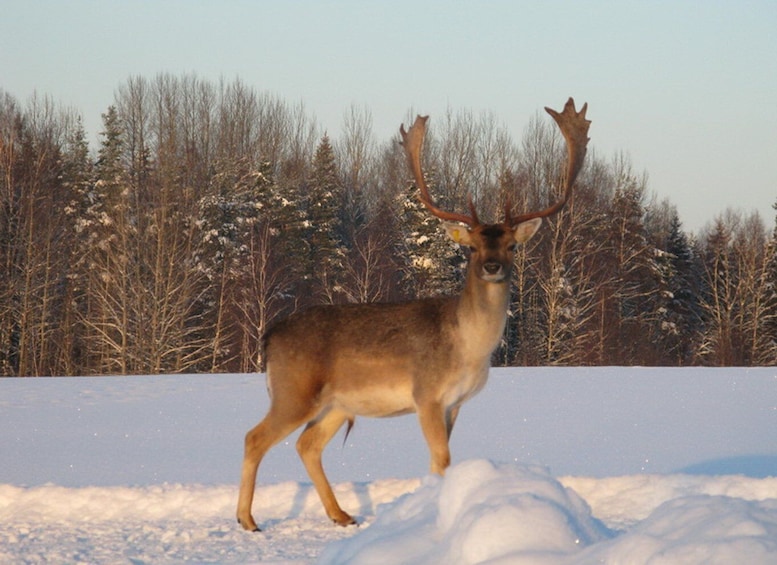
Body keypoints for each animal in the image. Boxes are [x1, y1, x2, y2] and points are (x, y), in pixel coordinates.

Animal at [235, 96, 588, 528]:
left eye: (511, 246)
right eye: (472, 247)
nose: (492, 266)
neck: (470, 348)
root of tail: (269, 335)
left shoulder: (455, 402)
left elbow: (443, 463)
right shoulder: (427, 394)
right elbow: (442, 459)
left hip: (337, 403)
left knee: (307, 444)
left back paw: (342, 515)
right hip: (294, 390)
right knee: (255, 437)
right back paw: (248, 519)